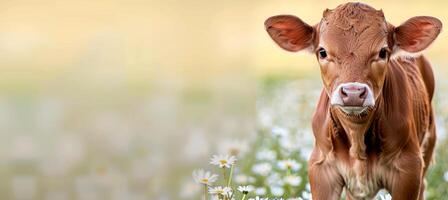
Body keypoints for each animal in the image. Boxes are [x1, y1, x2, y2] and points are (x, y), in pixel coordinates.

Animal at [264, 1, 442, 200]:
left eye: (383, 52)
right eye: (322, 52)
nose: (353, 92)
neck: (357, 137)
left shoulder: (409, 169)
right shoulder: (321, 168)